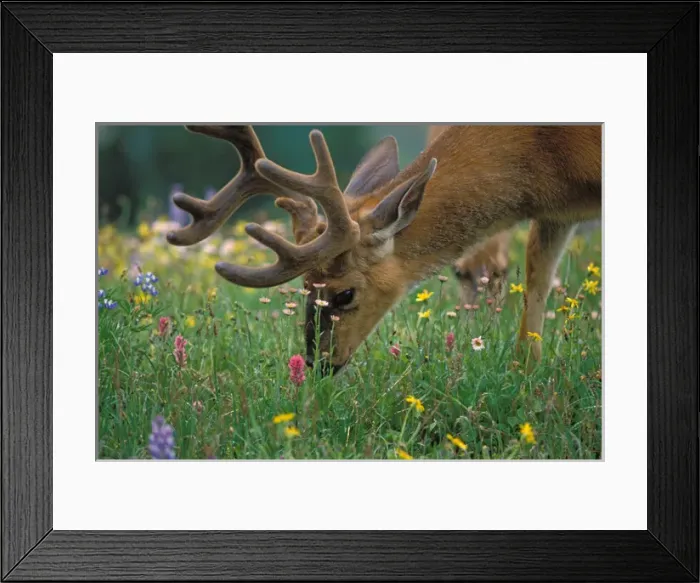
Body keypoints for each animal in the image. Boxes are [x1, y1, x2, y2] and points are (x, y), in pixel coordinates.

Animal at [167, 124, 601, 375]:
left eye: (344, 294)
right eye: (305, 288)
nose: (318, 365)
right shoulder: (557, 213)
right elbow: (535, 292)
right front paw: (526, 376)